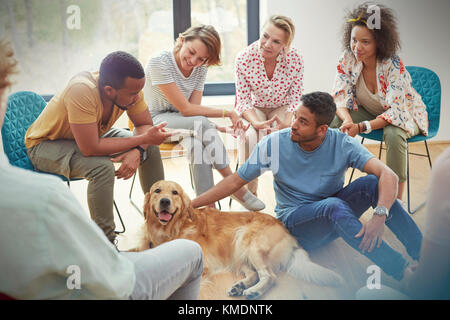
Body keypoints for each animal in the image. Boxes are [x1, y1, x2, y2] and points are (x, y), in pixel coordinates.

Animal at [135, 181, 342, 298]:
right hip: (238, 250)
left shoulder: (201, 265)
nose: (165, 201)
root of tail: (288, 233)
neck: (171, 229)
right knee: (254, 274)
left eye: (175, 193)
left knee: (270, 276)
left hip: (249, 242)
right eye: (157, 191)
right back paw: (240, 286)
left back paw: (254, 291)